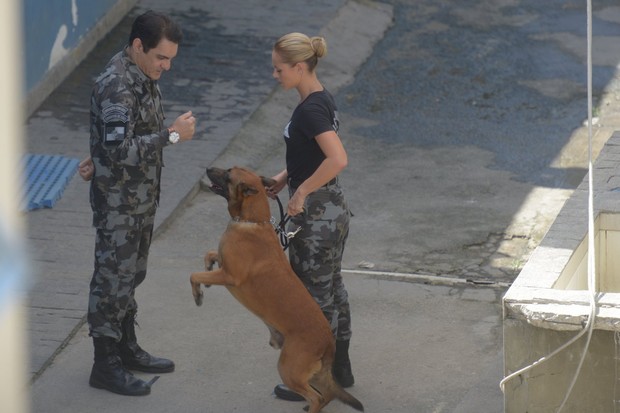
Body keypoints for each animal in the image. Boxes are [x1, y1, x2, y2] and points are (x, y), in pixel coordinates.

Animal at [189, 166, 364, 410]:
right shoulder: (223, 267)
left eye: (227, 175)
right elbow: (209, 255)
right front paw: (207, 270)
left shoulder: (230, 276)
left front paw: (198, 293)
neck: (253, 220)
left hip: (288, 368)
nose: (207, 169)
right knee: (327, 395)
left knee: (317, 397)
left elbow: (193, 275)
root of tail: (329, 343)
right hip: (312, 373)